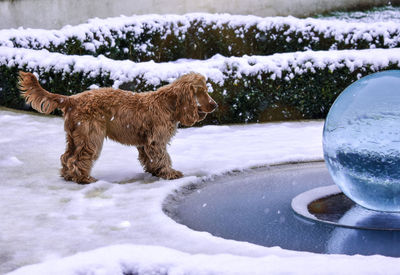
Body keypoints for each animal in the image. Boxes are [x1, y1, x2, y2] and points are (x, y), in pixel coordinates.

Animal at [18, 71, 217, 183]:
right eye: (202, 91)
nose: (215, 105)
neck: (168, 104)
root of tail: (71, 99)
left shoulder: (145, 142)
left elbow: (150, 159)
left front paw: (155, 172)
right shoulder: (156, 140)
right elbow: (163, 158)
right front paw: (170, 173)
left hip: (74, 136)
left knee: (66, 157)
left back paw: (68, 176)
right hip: (91, 136)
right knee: (76, 158)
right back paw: (83, 178)